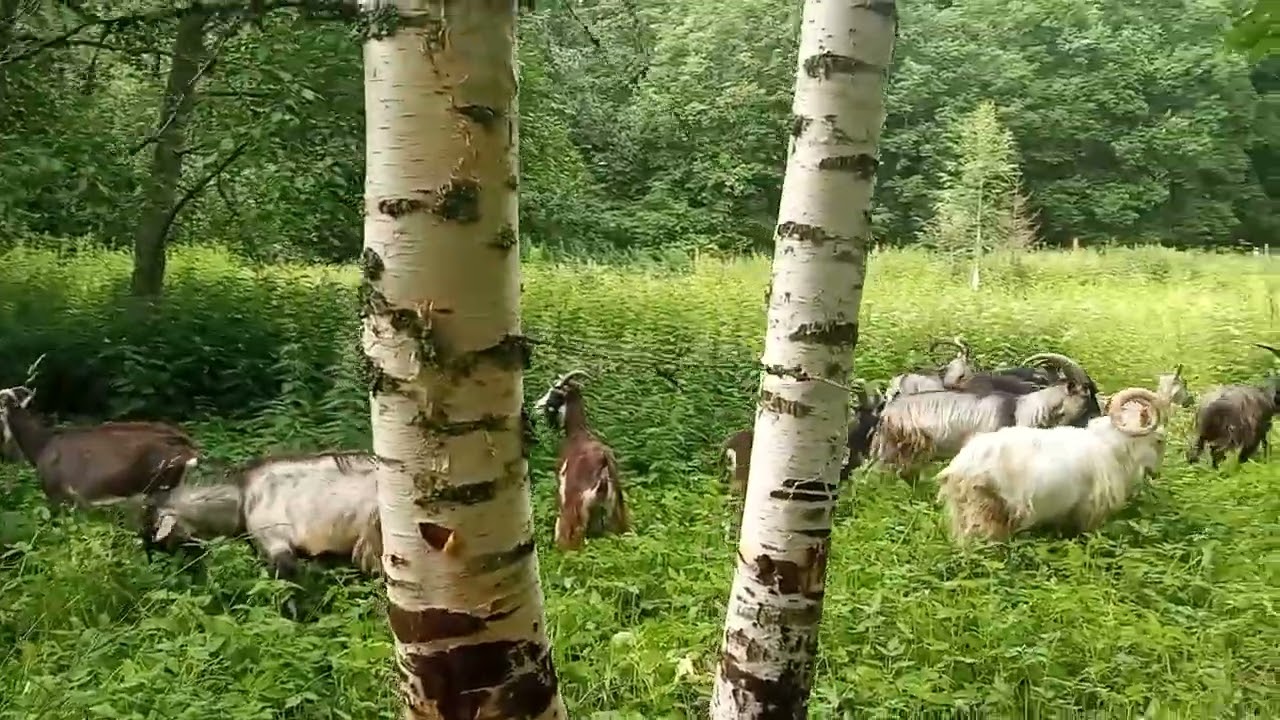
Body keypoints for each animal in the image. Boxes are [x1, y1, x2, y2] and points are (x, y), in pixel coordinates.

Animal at [534, 370, 629, 550]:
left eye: (554, 393)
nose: (536, 406)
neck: (578, 434)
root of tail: (604, 461)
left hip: (577, 504)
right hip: (614, 507)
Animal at [935, 388, 1165, 544]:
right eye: (1160, 440)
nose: (1156, 473)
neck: (1112, 446)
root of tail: (959, 467)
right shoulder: (1089, 512)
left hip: (963, 512)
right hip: (986, 512)